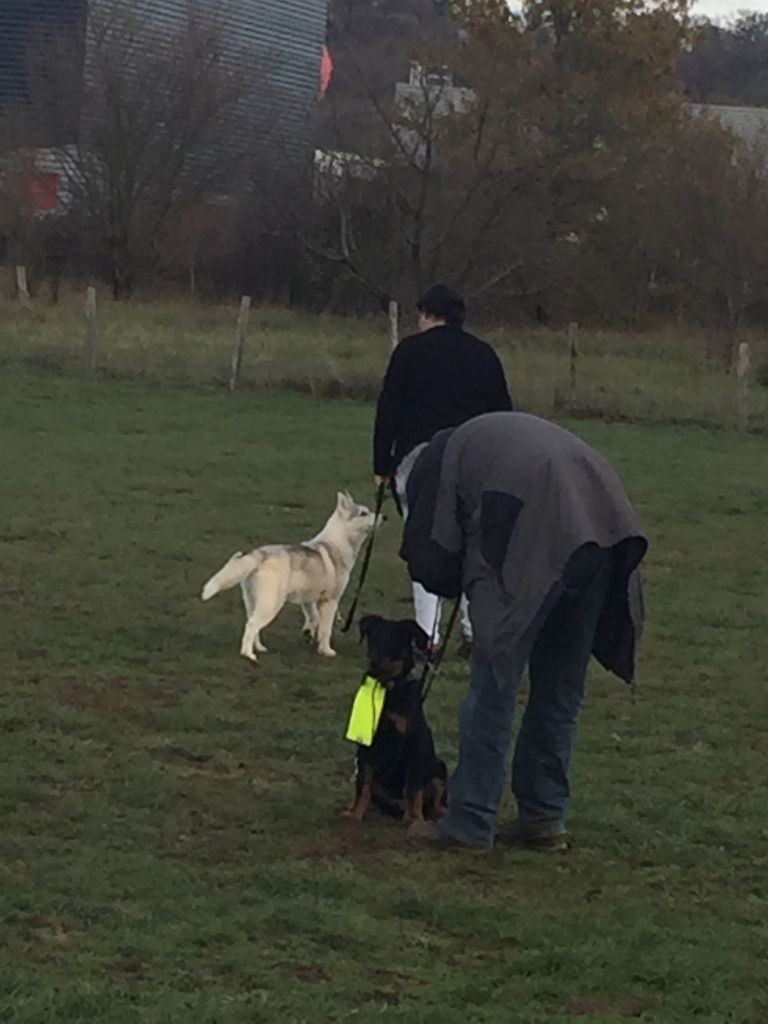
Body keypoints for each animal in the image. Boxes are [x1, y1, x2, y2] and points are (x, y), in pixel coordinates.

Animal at [202, 491, 380, 659]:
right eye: (364, 513)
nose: (383, 516)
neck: (337, 544)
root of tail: (259, 554)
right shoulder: (330, 600)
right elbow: (326, 630)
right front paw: (326, 651)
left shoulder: (308, 600)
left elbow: (313, 618)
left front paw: (309, 634)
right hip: (271, 604)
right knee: (252, 625)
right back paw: (248, 655)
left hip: (253, 602)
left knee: (252, 624)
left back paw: (259, 648)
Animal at [344, 614, 450, 823]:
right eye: (373, 639)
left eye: (392, 641)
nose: (374, 663)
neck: (388, 689)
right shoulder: (366, 745)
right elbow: (362, 786)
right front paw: (355, 813)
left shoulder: (414, 743)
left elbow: (414, 788)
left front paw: (415, 819)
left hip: (439, 767)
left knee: (434, 800)